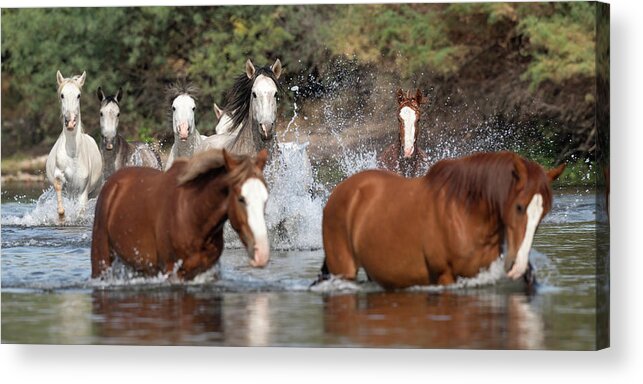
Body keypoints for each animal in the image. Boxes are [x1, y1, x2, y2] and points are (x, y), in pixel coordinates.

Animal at [46, 69, 103, 219]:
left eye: (78, 95)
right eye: (62, 95)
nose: (70, 122)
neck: (72, 154)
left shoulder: (83, 192)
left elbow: (80, 214)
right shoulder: (60, 180)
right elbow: (60, 205)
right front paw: (61, 218)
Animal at [90, 148, 270, 280]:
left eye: (265, 199)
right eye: (241, 198)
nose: (261, 252)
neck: (192, 214)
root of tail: (113, 183)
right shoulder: (173, 271)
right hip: (101, 260)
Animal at [320, 152, 568, 290]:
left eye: (544, 213)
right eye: (519, 206)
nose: (518, 265)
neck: (466, 213)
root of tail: (342, 190)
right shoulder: (446, 277)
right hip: (344, 270)